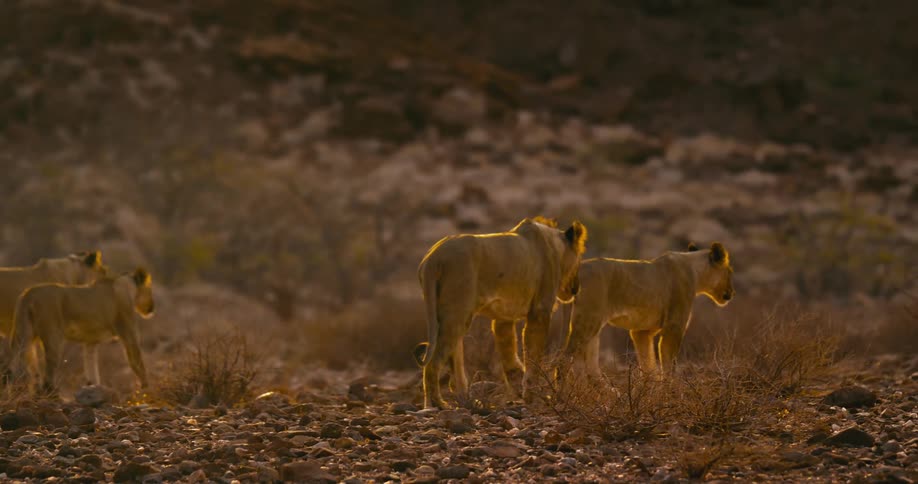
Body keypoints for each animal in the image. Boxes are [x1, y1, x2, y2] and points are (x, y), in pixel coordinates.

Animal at [8, 268, 155, 393]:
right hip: (52, 335)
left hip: (23, 331)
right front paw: (146, 388)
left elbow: (91, 368)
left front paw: (94, 388)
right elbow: (137, 362)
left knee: (18, 355)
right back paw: (51, 392)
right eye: (150, 291)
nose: (152, 308)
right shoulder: (129, 333)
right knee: (49, 366)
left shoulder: (90, 343)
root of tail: (28, 294)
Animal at [413, 216, 588, 409]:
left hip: (451, 313)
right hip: (457, 312)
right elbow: (533, 355)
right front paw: (534, 395)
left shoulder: (504, 319)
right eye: (580, 260)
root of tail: (432, 258)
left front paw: (519, 383)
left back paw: (465, 400)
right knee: (433, 362)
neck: (555, 247)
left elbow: (509, 353)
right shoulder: (540, 311)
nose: (577, 288)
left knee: (454, 355)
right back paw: (438, 403)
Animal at [559, 242, 734, 381]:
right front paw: (670, 391)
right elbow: (668, 364)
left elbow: (648, 362)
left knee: (591, 367)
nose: (732, 292)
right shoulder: (674, 327)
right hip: (587, 320)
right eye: (730, 272)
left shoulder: (642, 331)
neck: (695, 271)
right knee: (564, 357)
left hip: (592, 325)